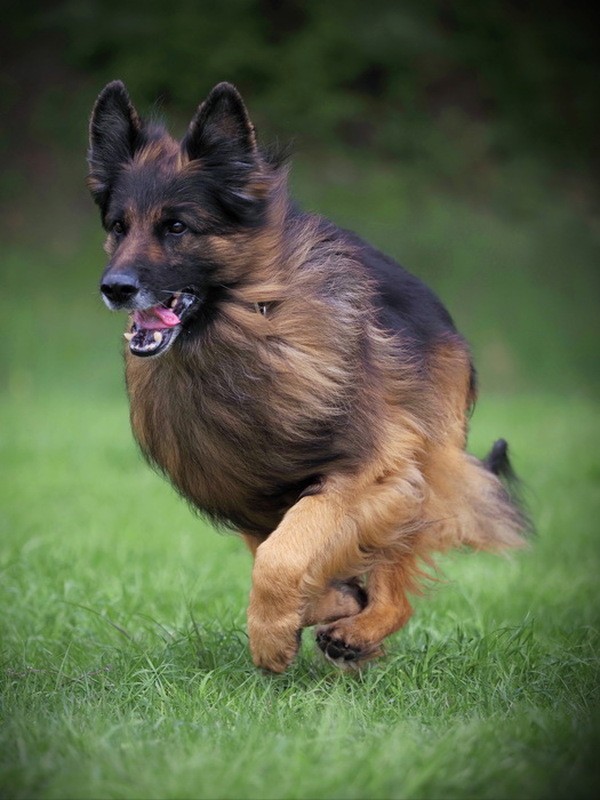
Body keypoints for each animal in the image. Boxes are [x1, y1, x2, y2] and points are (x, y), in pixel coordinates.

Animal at [86, 81, 528, 672]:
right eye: (119, 226)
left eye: (176, 226)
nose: (115, 288)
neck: (244, 328)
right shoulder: (252, 494)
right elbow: (283, 553)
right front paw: (324, 604)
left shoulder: (372, 472)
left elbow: (282, 556)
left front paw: (271, 636)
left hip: (424, 462)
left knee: (398, 579)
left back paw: (362, 632)